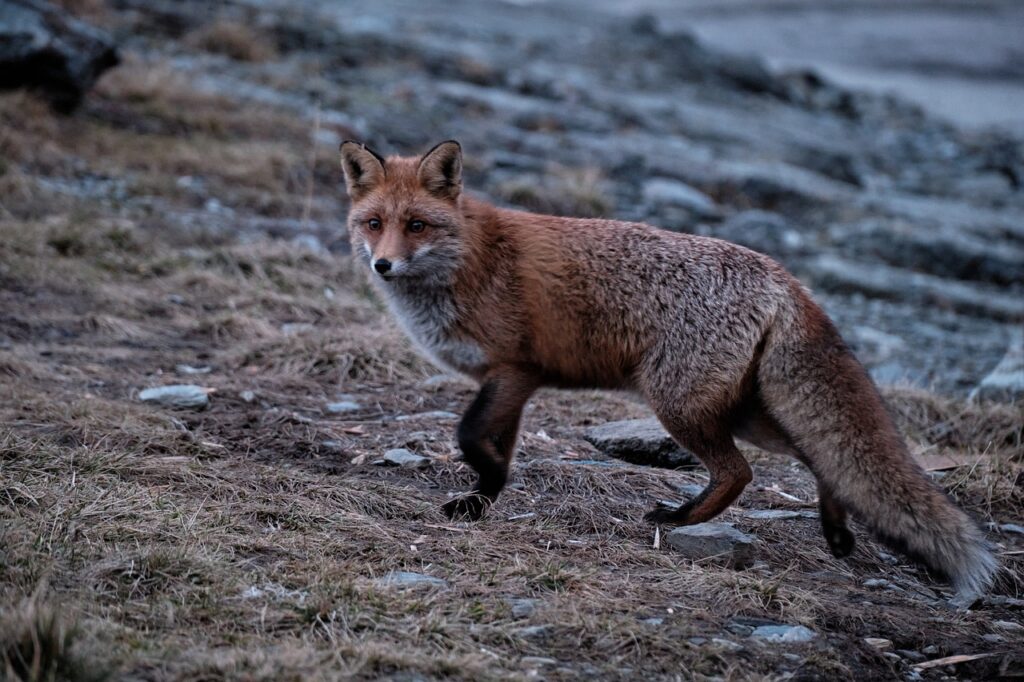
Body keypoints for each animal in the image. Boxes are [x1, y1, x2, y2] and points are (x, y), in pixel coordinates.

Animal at [342, 138, 991, 602]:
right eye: (374, 223)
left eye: (417, 225)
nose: (382, 266)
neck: (469, 261)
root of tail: (786, 278)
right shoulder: (510, 383)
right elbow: (495, 451)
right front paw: (482, 502)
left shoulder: (515, 369)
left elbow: (470, 437)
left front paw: (478, 498)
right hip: (748, 411)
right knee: (820, 460)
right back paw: (834, 532)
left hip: (678, 404)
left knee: (740, 472)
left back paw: (679, 519)